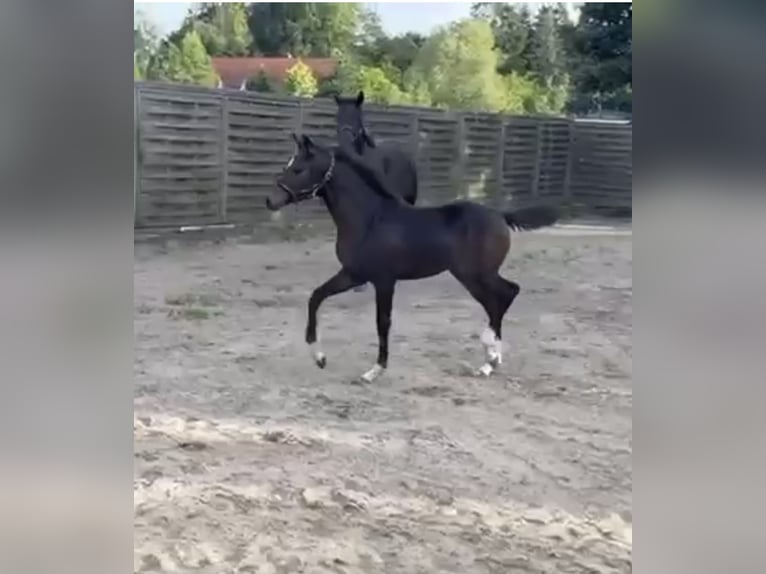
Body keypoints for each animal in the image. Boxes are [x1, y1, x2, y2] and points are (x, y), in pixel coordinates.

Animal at [265, 134, 560, 383]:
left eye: (298, 169)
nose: (270, 200)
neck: (371, 219)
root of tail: (500, 216)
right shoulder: (354, 274)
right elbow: (316, 297)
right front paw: (319, 358)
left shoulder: (384, 280)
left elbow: (382, 322)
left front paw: (375, 370)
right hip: (472, 276)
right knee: (497, 300)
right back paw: (490, 359)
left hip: (476, 274)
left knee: (507, 293)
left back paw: (490, 358)